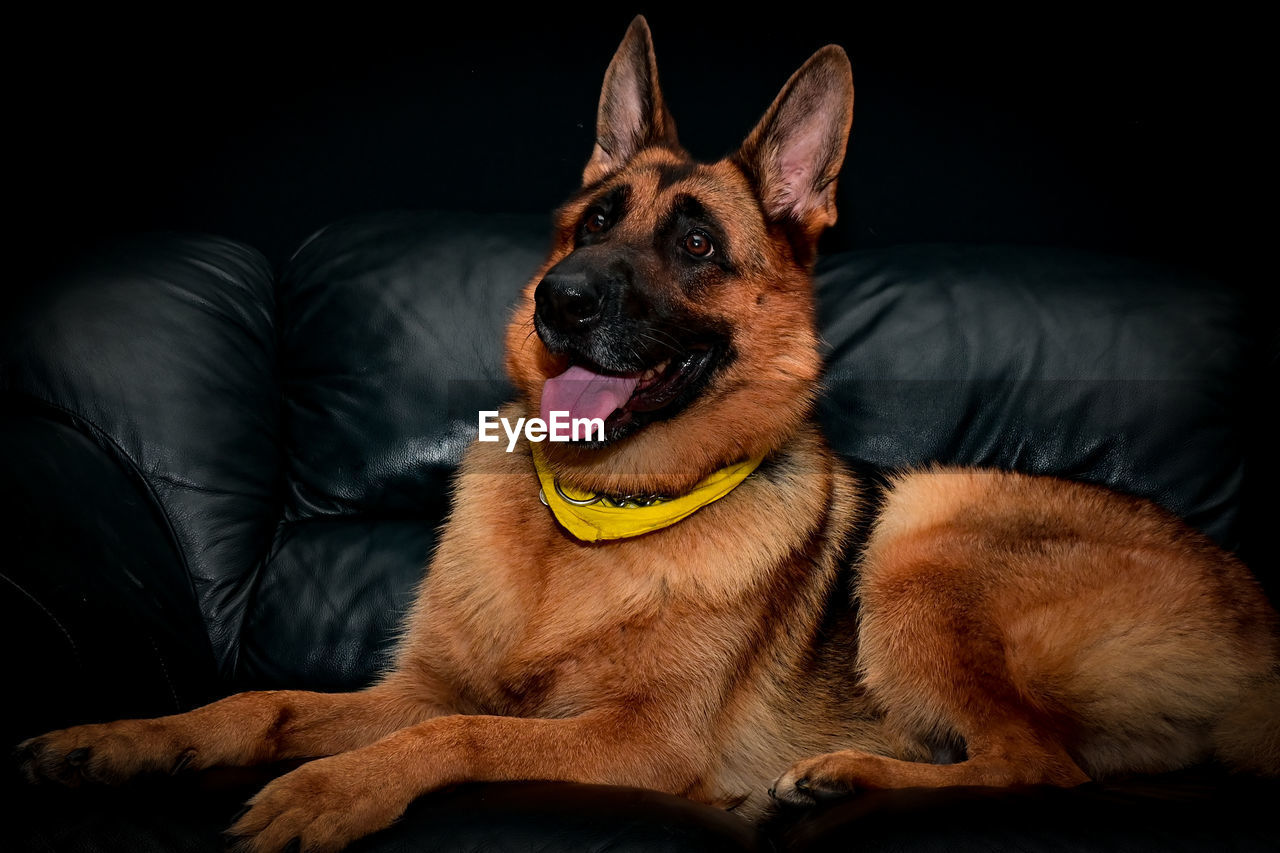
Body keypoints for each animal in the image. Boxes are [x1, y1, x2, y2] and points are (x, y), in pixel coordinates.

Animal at [15, 13, 1274, 850]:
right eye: (593, 221)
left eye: (696, 246)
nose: (558, 299)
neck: (590, 523)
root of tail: (1260, 634)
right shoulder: (408, 687)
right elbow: (259, 704)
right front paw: (118, 740)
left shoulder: (634, 741)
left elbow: (454, 738)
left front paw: (332, 790)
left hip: (925, 526)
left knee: (1043, 766)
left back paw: (841, 774)